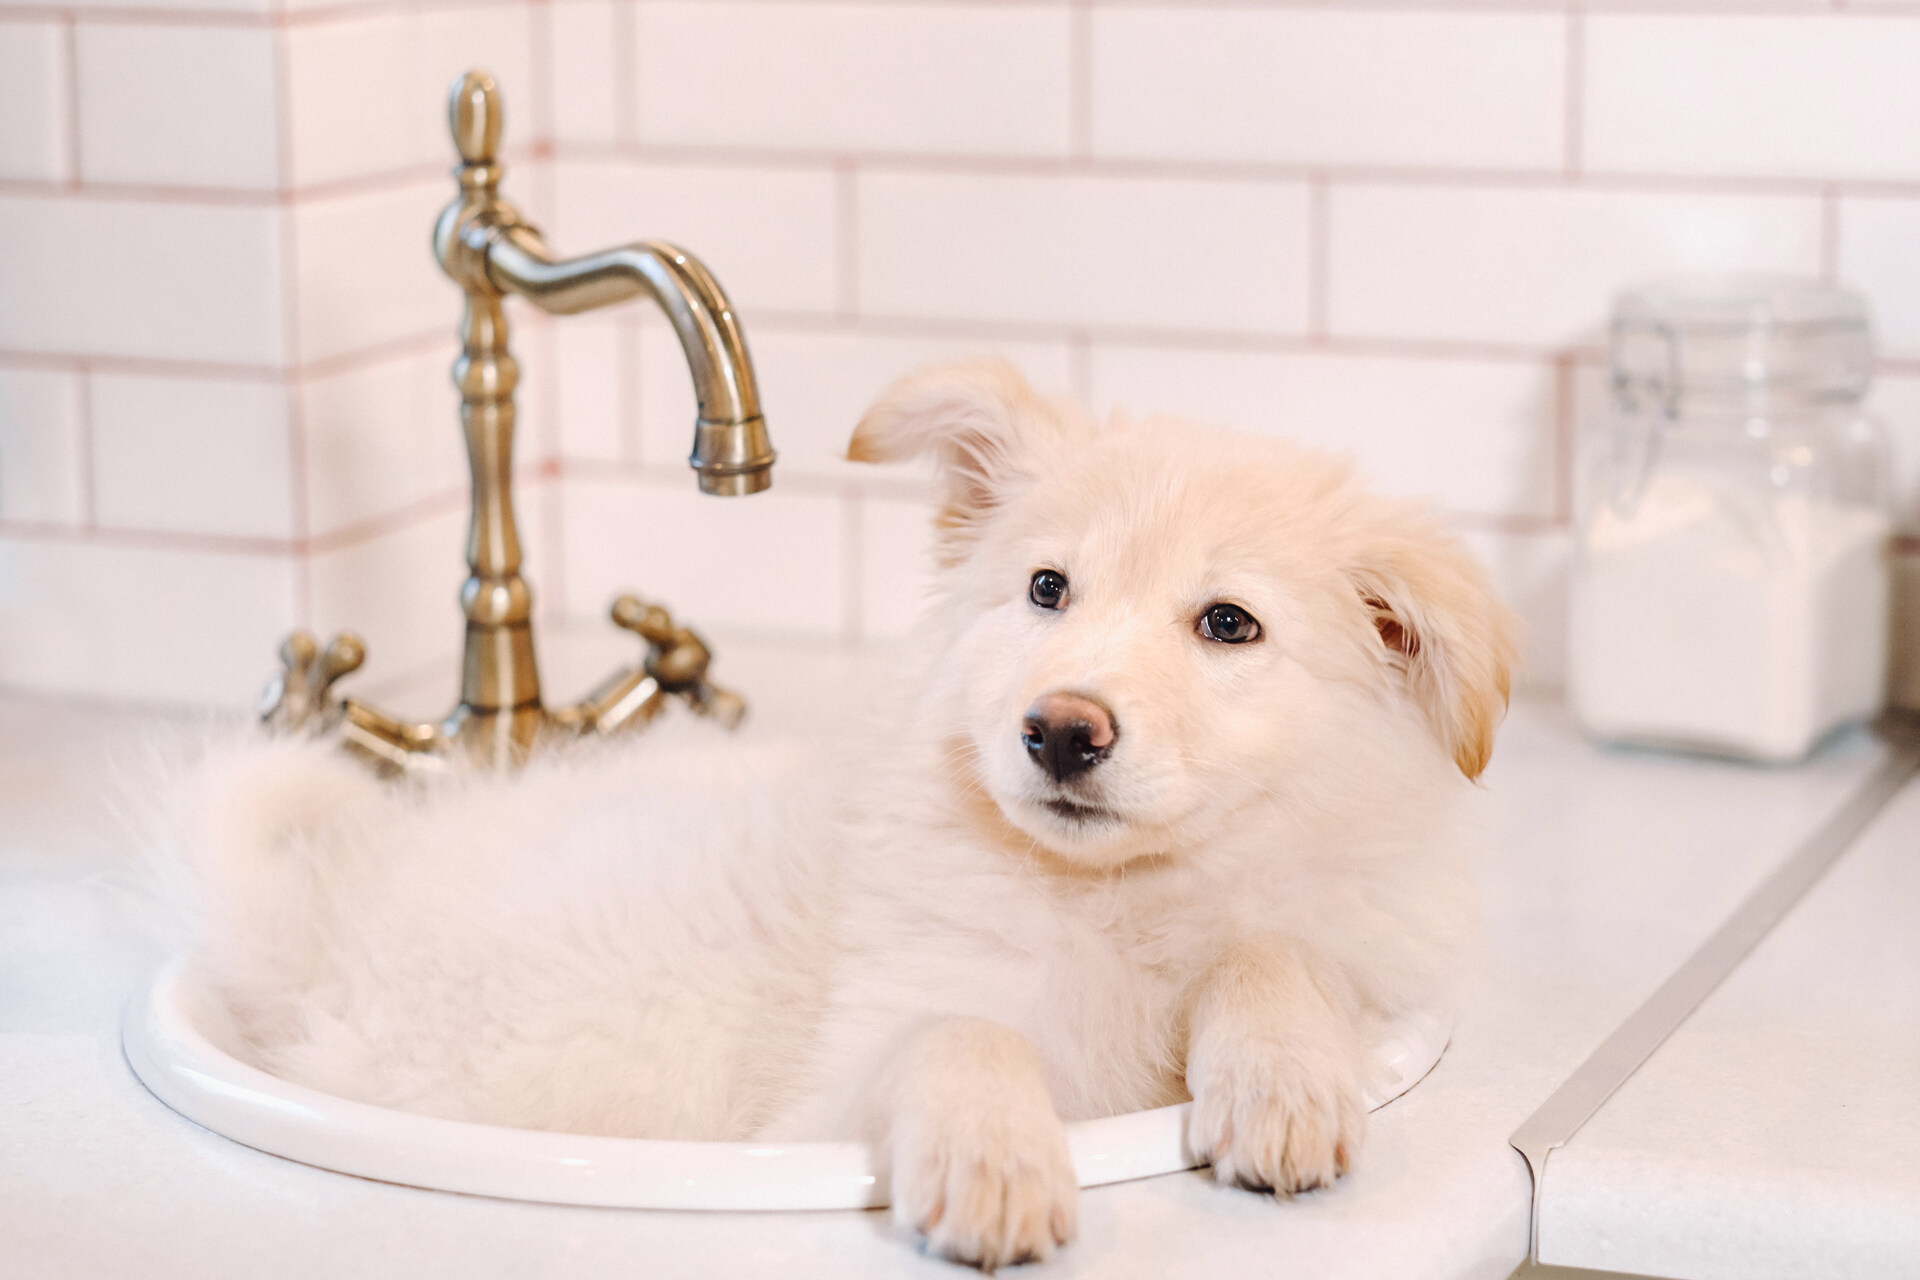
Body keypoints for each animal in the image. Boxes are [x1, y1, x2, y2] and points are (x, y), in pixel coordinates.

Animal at [176, 360, 1512, 1274]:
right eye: (1046, 588)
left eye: (1229, 623)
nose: (1060, 730)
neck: (1119, 896)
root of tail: (318, 923)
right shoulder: (838, 1075)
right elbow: (958, 1026)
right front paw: (994, 1162)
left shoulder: (1351, 935)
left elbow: (1274, 952)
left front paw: (1281, 1084)